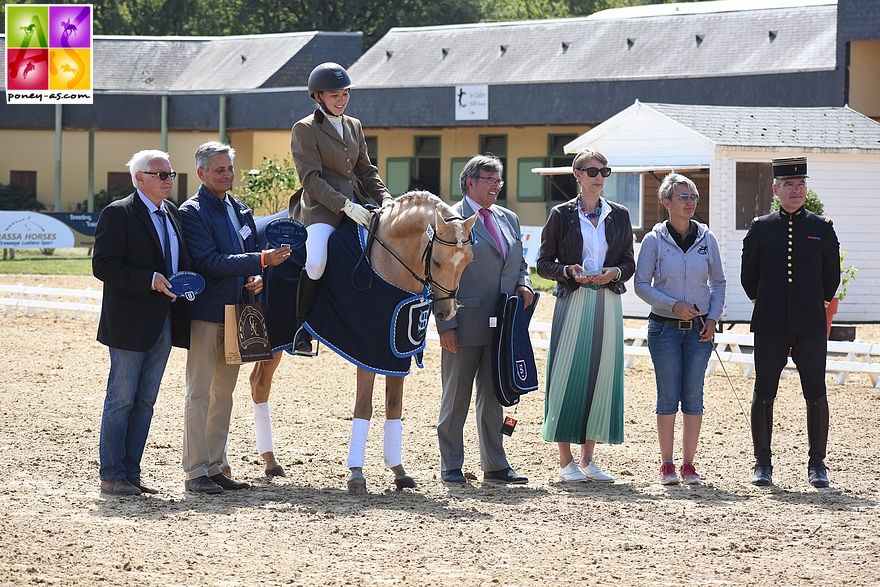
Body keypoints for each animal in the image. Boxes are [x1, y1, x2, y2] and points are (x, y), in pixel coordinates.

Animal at [249, 192, 474, 492]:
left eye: (468, 261)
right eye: (437, 261)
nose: (445, 313)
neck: (387, 262)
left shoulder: (395, 354)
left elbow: (394, 407)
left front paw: (399, 471)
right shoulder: (365, 351)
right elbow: (364, 408)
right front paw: (356, 474)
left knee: (259, 384)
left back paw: (271, 462)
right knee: (254, 384)